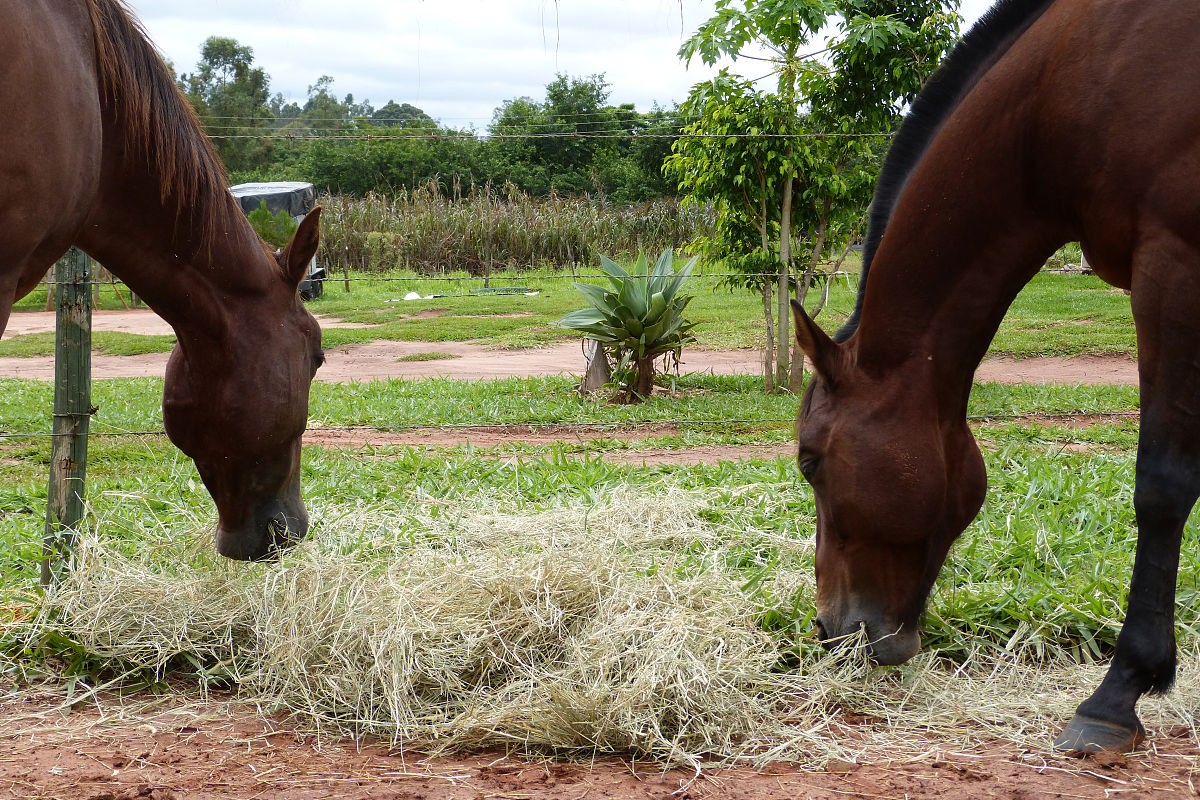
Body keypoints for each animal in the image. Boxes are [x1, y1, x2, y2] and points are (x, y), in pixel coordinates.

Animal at [790, 0, 1200, 754]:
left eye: (809, 462)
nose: (829, 631)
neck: (1068, 81)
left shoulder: (1176, 267)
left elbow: (1162, 486)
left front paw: (1117, 695)